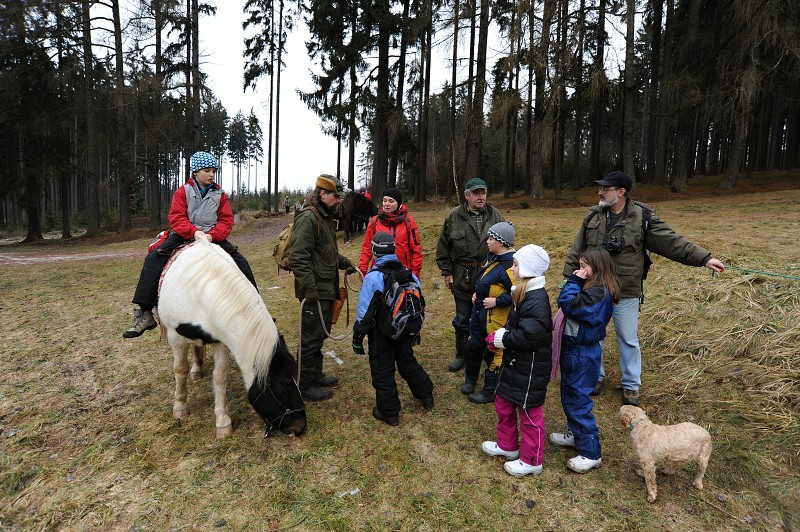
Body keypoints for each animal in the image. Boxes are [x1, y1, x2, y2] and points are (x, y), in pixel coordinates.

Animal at [159, 236, 306, 436]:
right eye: (283, 388)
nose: (300, 427)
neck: (201, 292)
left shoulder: (222, 340)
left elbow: (220, 378)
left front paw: (222, 422)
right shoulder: (175, 336)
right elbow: (180, 370)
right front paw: (180, 408)